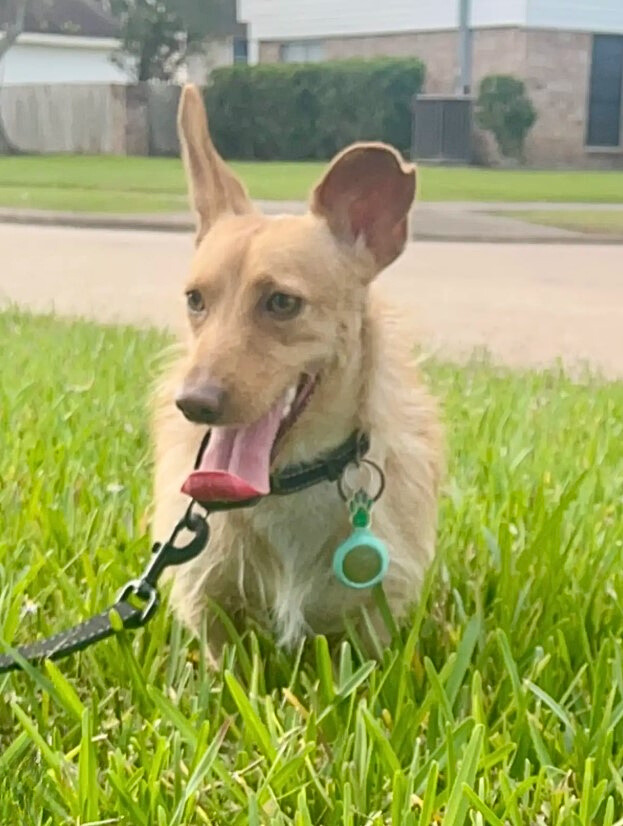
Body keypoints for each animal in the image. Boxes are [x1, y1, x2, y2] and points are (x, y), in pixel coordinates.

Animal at [153, 87, 442, 660]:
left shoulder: (372, 626)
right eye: (195, 299)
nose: (192, 403)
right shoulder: (213, 613)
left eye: (282, 302)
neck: (288, 482)